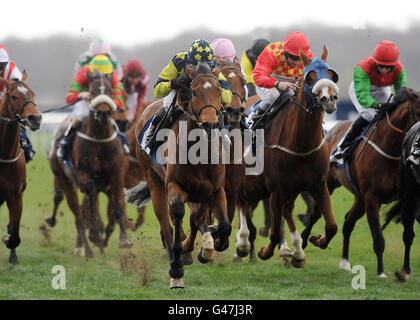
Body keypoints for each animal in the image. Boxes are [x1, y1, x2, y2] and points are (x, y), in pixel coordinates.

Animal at [48, 72, 132, 258]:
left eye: (110, 90)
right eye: (92, 91)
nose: (103, 112)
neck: (100, 139)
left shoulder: (116, 174)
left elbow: (118, 204)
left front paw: (124, 240)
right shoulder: (83, 174)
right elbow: (90, 200)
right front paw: (95, 234)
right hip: (64, 180)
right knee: (78, 214)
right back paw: (86, 249)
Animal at [127, 62, 233, 288]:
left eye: (219, 92)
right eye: (194, 92)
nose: (210, 124)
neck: (199, 152)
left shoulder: (214, 190)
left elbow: (221, 225)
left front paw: (213, 243)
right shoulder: (174, 186)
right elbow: (177, 213)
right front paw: (179, 258)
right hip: (154, 181)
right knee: (165, 224)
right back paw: (176, 265)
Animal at [236, 45, 338, 264]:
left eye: (331, 74)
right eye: (309, 77)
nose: (328, 99)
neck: (301, 146)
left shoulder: (318, 185)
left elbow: (332, 227)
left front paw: (316, 239)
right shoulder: (276, 189)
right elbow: (274, 232)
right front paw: (264, 251)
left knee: (287, 211)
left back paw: (297, 251)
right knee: (242, 202)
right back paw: (242, 244)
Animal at [304, 86, 420, 276]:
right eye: (417, 112)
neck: (391, 151)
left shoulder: (408, 197)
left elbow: (408, 235)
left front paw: (405, 271)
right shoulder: (372, 198)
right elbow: (378, 239)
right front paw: (381, 272)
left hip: (359, 198)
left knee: (348, 222)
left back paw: (344, 261)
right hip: (329, 183)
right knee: (315, 214)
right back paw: (305, 242)